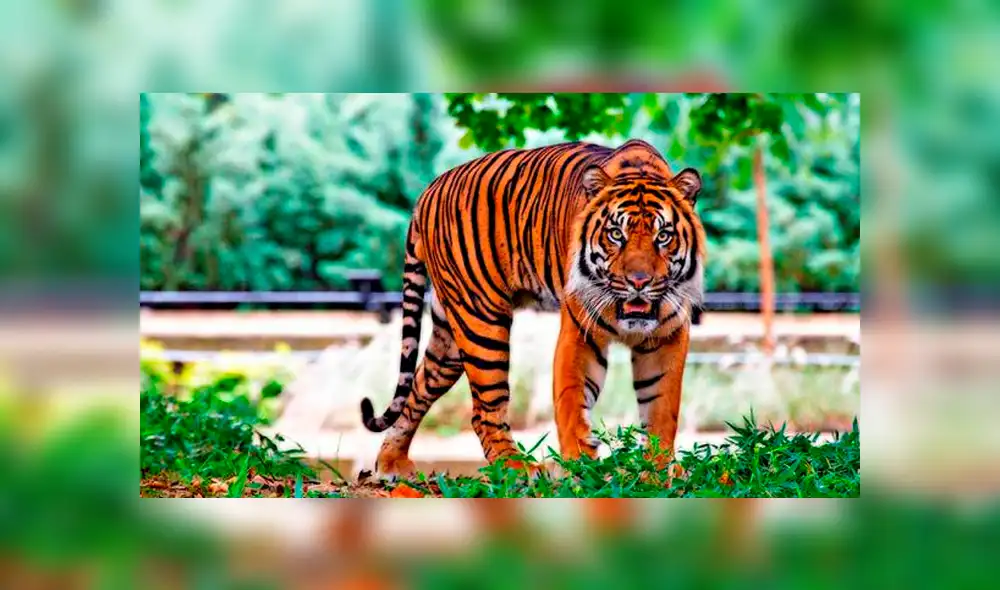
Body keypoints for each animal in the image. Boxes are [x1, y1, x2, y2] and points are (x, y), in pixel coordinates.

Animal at [359, 138, 706, 479]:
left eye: (663, 236)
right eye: (616, 235)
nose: (639, 281)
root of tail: (428, 190)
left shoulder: (667, 337)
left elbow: (661, 408)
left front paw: (657, 470)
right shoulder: (580, 333)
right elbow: (572, 402)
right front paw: (581, 469)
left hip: (450, 338)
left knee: (418, 388)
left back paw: (392, 463)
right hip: (481, 321)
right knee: (484, 410)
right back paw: (517, 468)